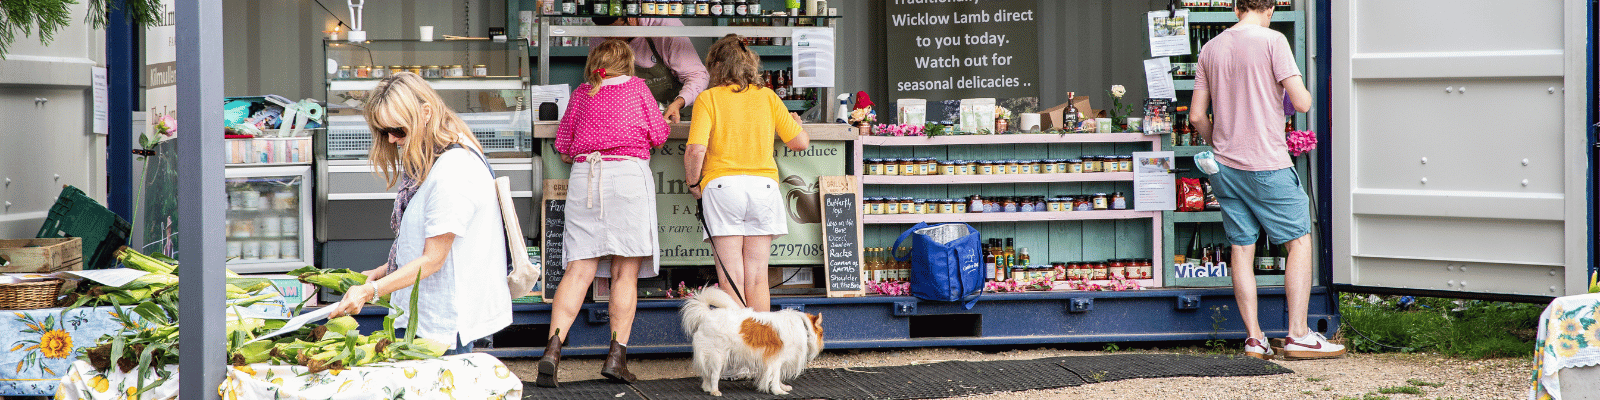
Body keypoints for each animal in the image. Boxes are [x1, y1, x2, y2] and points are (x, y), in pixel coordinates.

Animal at [678, 288, 825, 396]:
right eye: (822, 333)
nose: (823, 344)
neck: (804, 326)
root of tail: (707, 315)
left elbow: (776, 377)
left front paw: (782, 387)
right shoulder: (776, 360)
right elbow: (775, 377)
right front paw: (778, 391)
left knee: (706, 375)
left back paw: (707, 388)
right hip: (718, 356)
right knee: (714, 375)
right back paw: (714, 391)